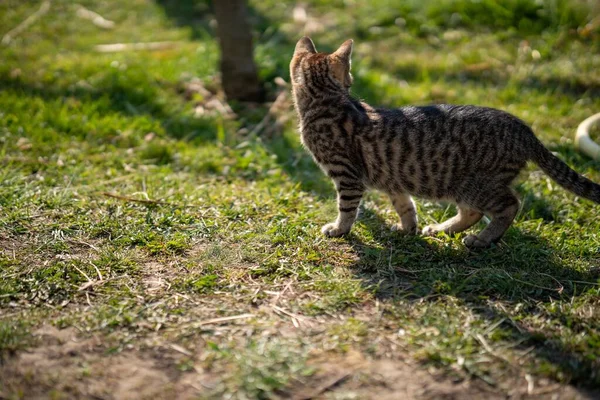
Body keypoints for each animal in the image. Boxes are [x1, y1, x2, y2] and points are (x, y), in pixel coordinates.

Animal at [290, 38, 600, 250]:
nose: (352, 81)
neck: (325, 102)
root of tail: (523, 128)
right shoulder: (393, 179)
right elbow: (405, 205)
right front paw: (408, 229)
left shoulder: (347, 176)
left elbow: (347, 209)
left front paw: (339, 230)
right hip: (462, 185)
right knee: (473, 211)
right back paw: (443, 230)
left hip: (477, 184)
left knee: (509, 205)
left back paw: (483, 239)